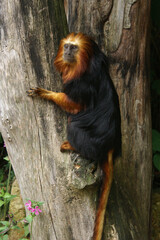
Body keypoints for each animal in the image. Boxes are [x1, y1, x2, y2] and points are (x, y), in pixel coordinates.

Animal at [26, 32, 121, 240]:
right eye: (67, 46)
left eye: (74, 48)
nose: (67, 51)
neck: (85, 65)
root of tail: (110, 146)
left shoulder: (82, 85)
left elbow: (75, 106)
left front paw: (46, 93)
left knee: (75, 126)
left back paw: (72, 146)